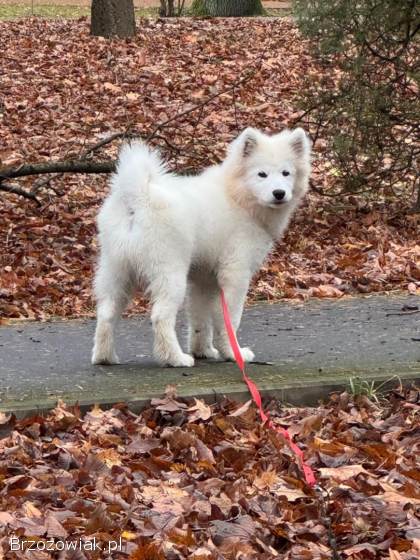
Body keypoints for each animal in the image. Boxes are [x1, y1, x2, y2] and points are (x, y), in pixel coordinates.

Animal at [92, 129, 312, 370]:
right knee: (160, 316)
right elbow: (229, 320)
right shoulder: (235, 274)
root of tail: (138, 197)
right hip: (169, 272)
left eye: (286, 173)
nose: (279, 193)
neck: (237, 196)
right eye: (262, 174)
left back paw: (105, 357)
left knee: (106, 313)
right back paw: (175, 359)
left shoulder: (203, 281)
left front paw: (203, 351)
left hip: (117, 271)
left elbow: (200, 320)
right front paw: (233, 354)